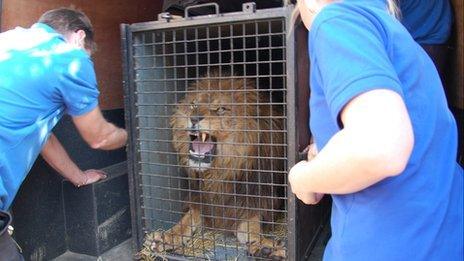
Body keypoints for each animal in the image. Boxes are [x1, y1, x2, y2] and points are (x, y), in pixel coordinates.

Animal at [152, 72, 286, 258]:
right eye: (193, 105)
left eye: (221, 109)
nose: (193, 118)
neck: (220, 174)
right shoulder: (202, 199)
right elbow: (188, 219)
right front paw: (168, 237)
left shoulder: (256, 199)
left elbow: (251, 228)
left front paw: (264, 246)